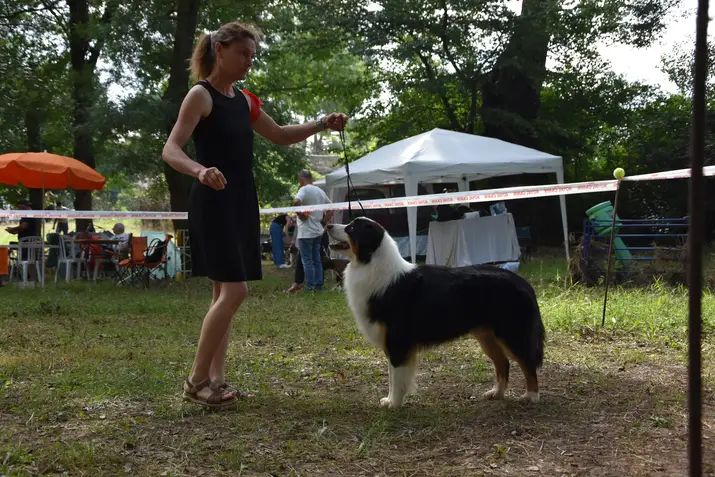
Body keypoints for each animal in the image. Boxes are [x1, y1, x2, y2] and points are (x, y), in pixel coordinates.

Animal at [327, 217, 544, 408]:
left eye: (351, 228)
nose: (328, 225)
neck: (370, 263)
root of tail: (523, 282)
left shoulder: (397, 340)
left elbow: (396, 376)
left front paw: (394, 404)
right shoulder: (391, 342)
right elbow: (391, 375)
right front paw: (389, 400)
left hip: (511, 333)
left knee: (527, 363)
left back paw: (531, 396)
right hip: (486, 335)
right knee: (503, 363)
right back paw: (496, 393)